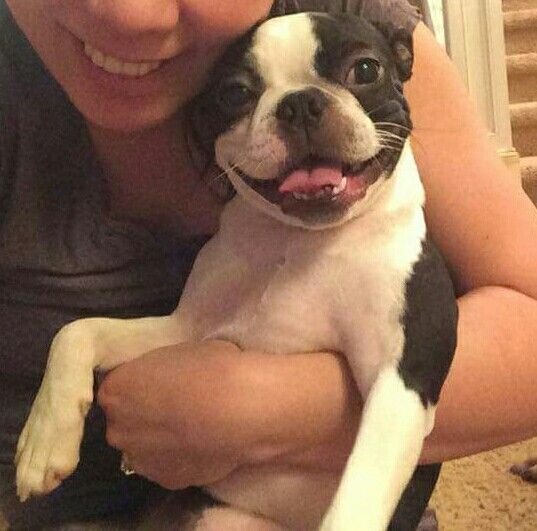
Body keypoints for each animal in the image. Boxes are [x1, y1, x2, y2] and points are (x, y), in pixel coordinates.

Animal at [13, 12, 456, 531]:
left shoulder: (400, 380)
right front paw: (44, 441)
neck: (299, 241)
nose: (299, 103)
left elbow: (359, 490)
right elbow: (76, 331)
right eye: (235, 93)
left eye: (365, 69)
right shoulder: (186, 330)